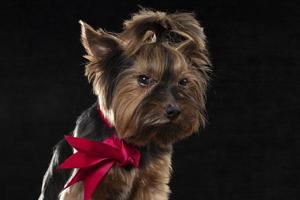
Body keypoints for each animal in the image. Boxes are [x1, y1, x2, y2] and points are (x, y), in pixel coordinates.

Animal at [38, 8, 211, 199]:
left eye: (183, 82)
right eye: (144, 79)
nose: (174, 111)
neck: (128, 144)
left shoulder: (152, 183)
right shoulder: (83, 182)